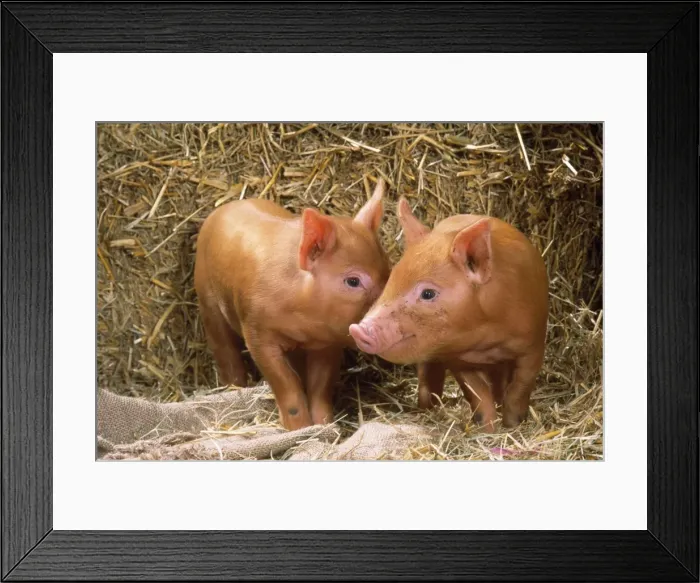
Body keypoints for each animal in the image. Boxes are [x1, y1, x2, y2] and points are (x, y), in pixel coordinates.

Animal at [194, 179, 390, 430]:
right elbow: (286, 385)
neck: (301, 318)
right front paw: (298, 429)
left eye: (389, 270)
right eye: (353, 281)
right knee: (224, 349)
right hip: (207, 300)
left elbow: (320, 388)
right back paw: (234, 388)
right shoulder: (257, 333)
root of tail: (226, 207)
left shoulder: (327, 343)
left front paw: (325, 427)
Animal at [349, 197, 548, 431]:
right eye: (392, 278)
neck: (488, 339)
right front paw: (487, 430)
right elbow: (477, 394)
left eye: (428, 293)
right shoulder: (457, 358)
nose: (357, 329)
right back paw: (427, 407)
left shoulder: (533, 345)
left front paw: (512, 425)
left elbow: (520, 388)